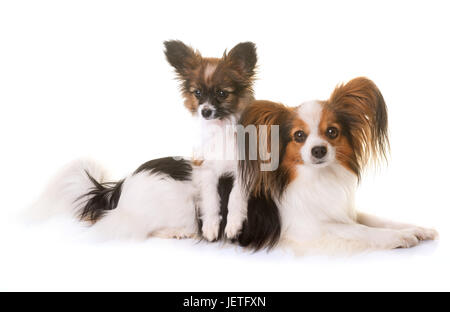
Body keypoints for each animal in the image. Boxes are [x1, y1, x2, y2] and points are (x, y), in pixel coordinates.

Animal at [165, 40, 256, 241]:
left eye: (222, 93)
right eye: (197, 93)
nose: (205, 111)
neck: (220, 128)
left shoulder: (244, 169)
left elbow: (235, 197)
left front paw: (233, 225)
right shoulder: (205, 167)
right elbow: (210, 198)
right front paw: (210, 225)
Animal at [237, 76, 438, 254]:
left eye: (332, 131)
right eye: (299, 135)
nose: (318, 150)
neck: (319, 177)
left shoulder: (344, 211)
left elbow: (377, 219)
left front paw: (416, 229)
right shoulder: (306, 227)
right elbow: (358, 229)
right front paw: (398, 236)